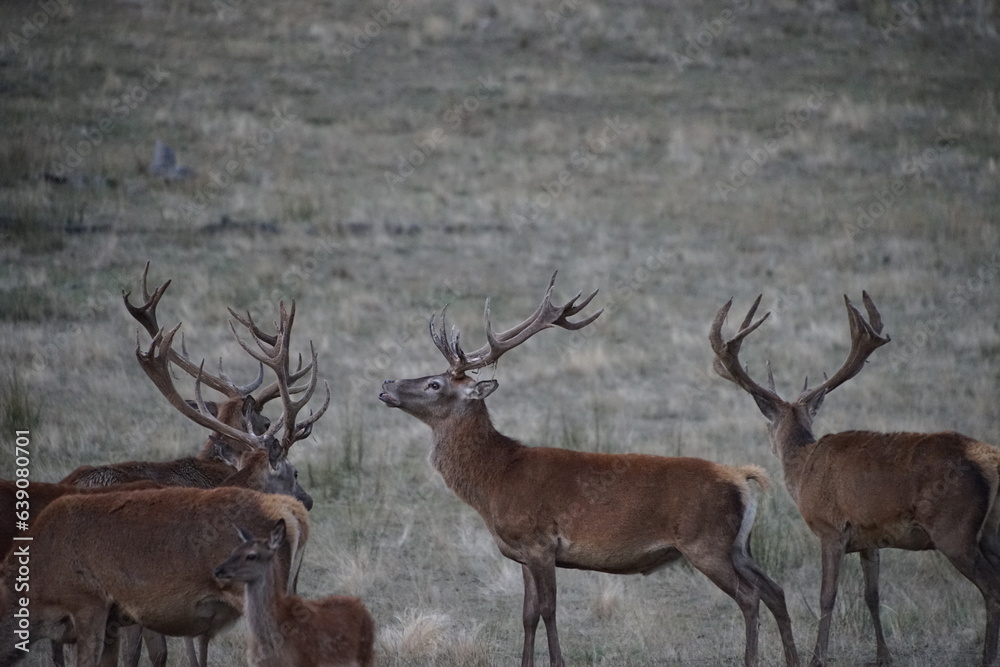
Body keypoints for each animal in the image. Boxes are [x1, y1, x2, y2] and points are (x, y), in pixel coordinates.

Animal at [213, 520, 375, 667]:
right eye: (233, 551)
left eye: (251, 556)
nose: (218, 570)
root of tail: (362, 607)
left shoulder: (305, 662)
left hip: (366, 656)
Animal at [378, 272, 799, 667]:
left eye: (434, 384)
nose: (386, 384)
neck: (495, 480)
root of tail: (740, 478)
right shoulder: (521, 553)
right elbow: (527, 615)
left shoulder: (540, 541)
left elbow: (548, 610)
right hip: (739, 545)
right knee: (775, 590)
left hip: (706, 543)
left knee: (750, 598)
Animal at [710, 292, 1000, 667]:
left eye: (768, 424)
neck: (803, 468)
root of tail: (989, 461)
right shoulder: (870, 536)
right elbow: (872, 595)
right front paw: (883, 656)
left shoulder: (830, 528)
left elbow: (827, 595)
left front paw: (818, 657)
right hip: (991, 530)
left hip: (955, 530)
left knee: (992, 588)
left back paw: (986, 658)